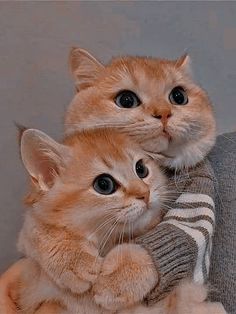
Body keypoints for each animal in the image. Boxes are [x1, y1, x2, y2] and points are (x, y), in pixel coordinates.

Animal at [14, 128, 225, 314]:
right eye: (104, 184)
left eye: (141, 169)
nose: (145, 193)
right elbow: (38, 228)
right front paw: (75, 260)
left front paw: (116, 281)